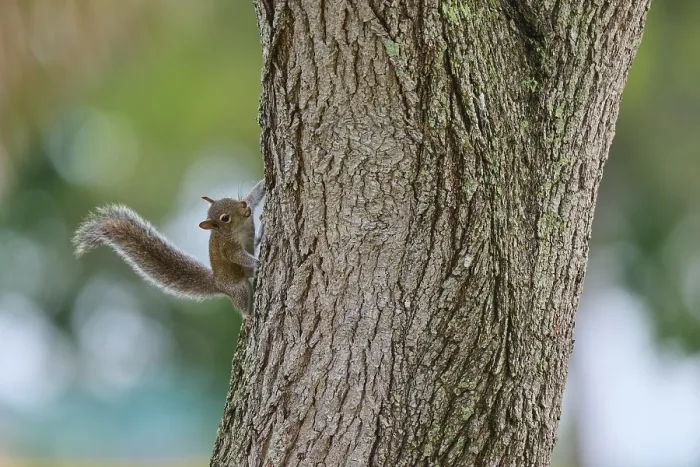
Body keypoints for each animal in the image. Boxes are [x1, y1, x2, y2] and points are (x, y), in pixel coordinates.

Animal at [73, 179, 265, 317]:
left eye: (230, 199)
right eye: (225, 218)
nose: (244, 206)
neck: (239, 227)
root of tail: (217, 282)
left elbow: (254, 195)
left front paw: (263, 183)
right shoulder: (227, 247)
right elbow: (237, 256)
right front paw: (258, 262)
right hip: (237, 288)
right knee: (243, 304)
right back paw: (249, 315)